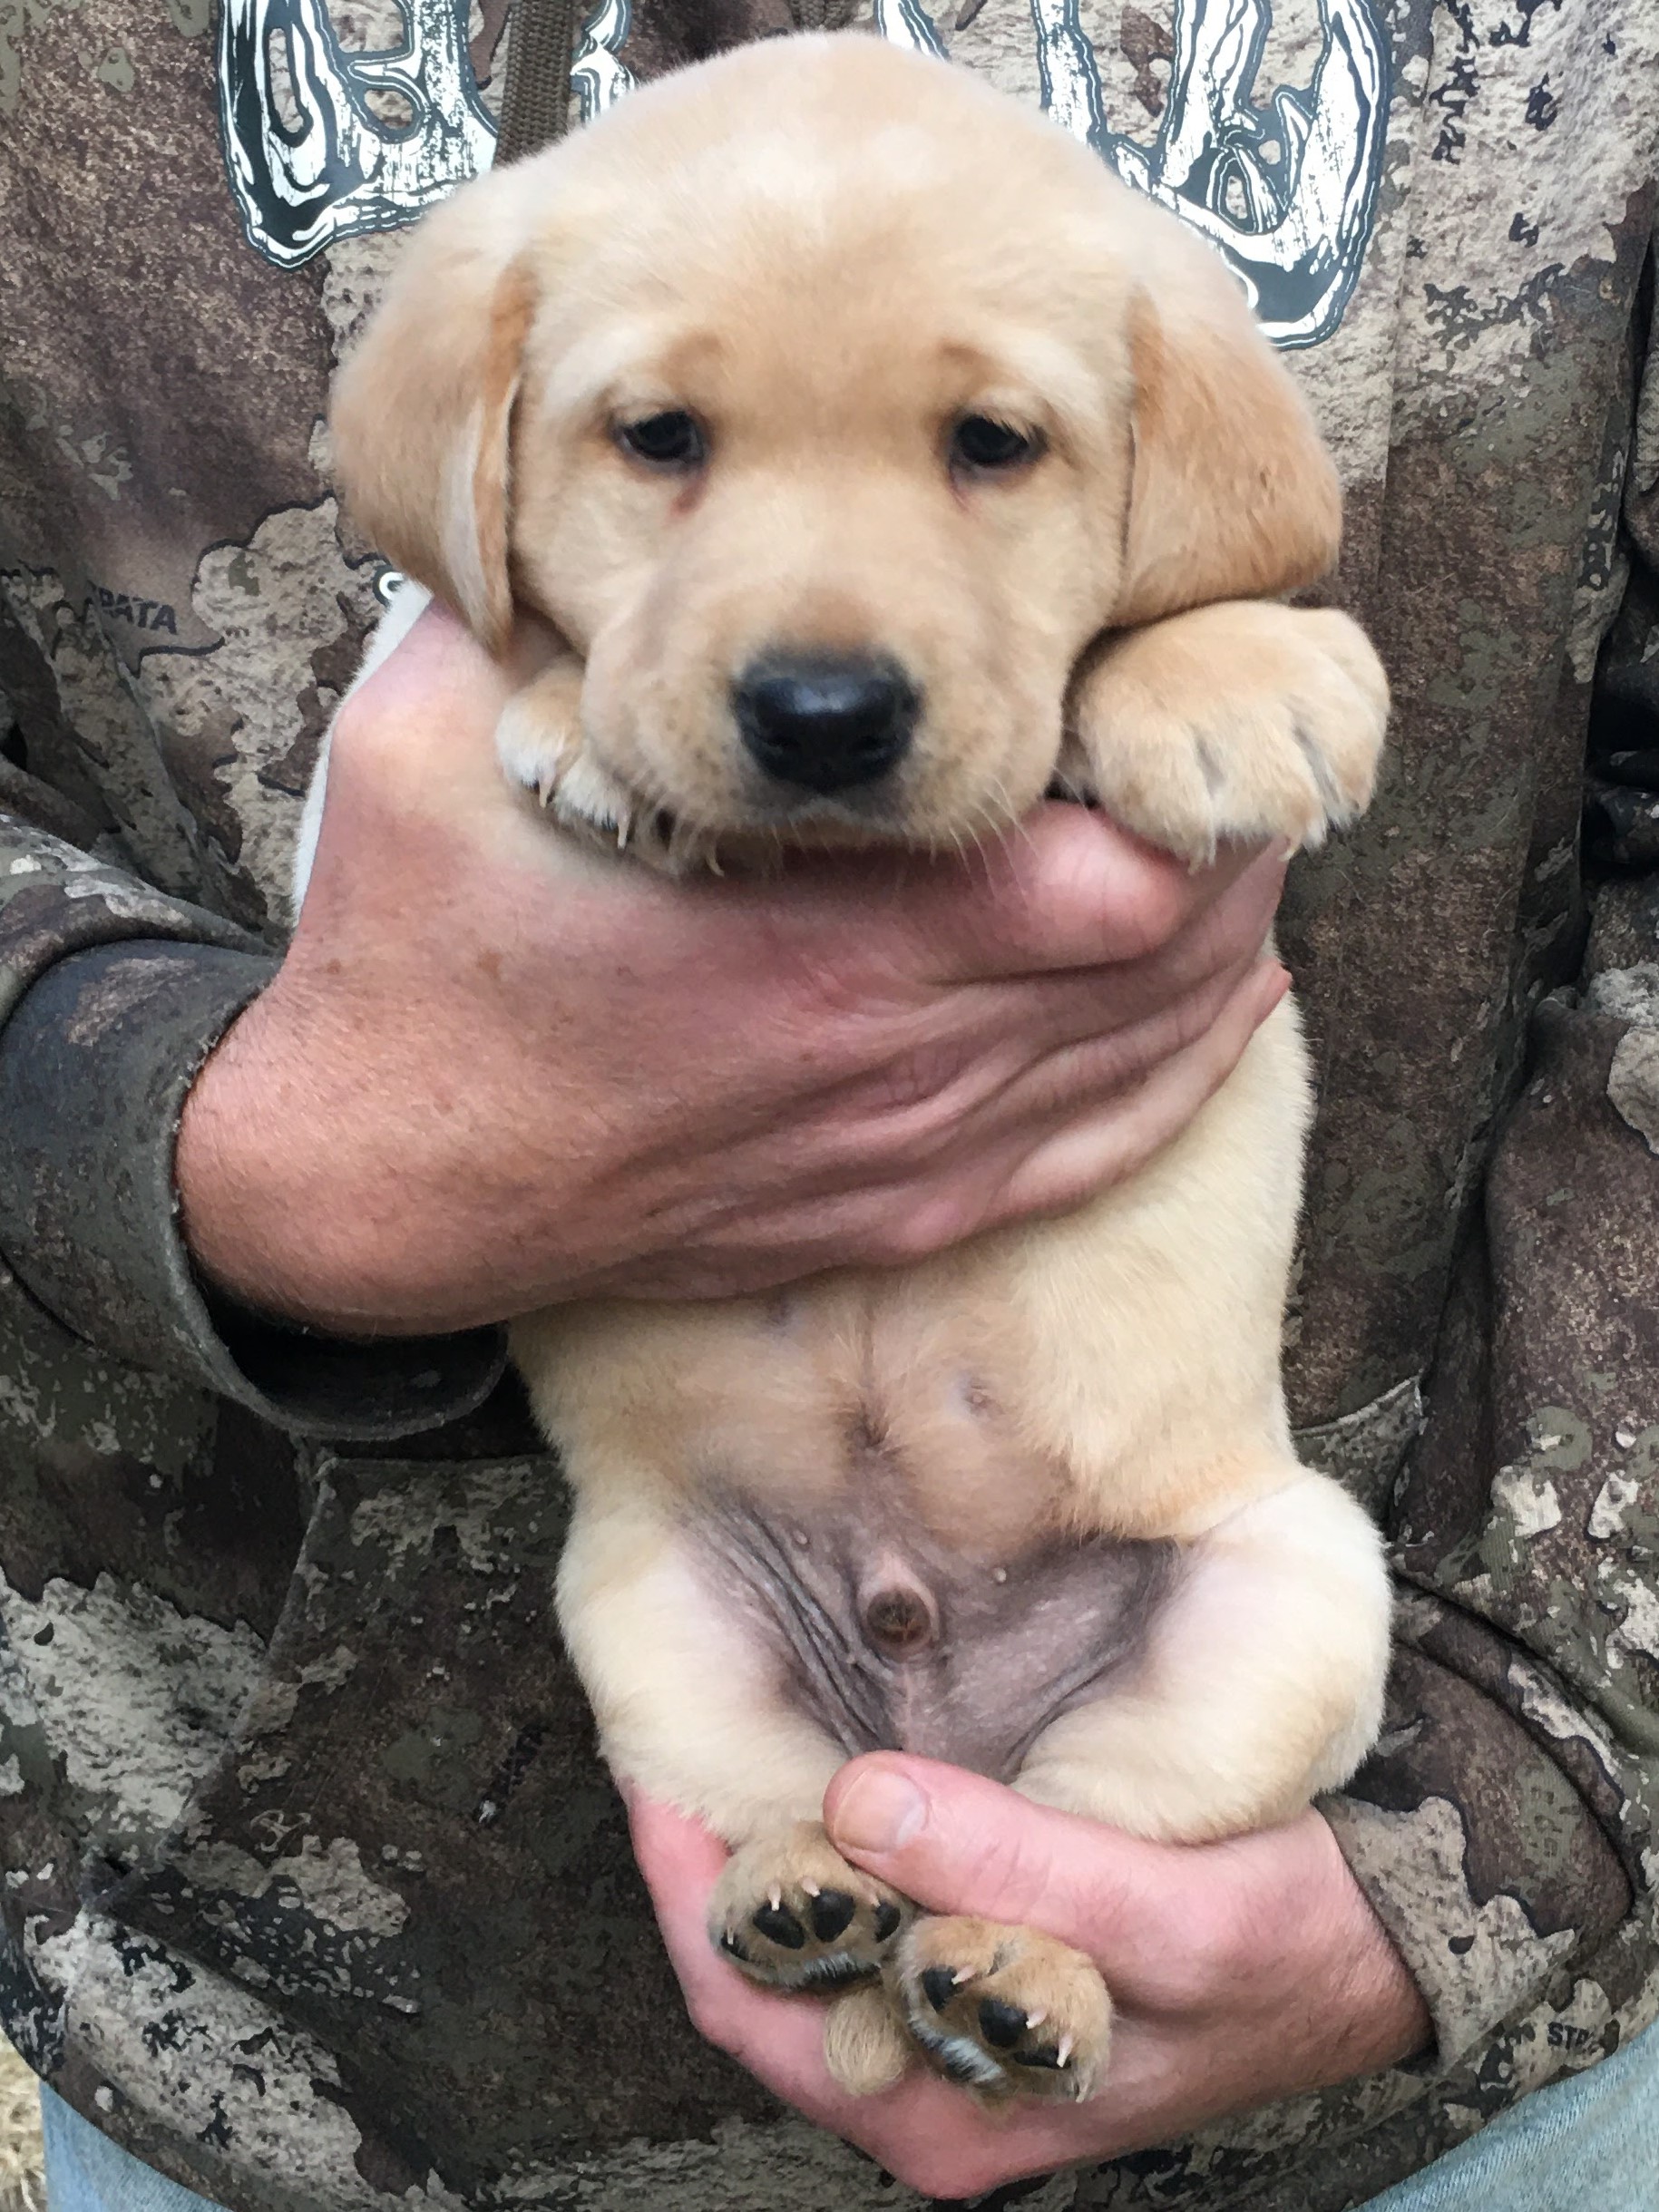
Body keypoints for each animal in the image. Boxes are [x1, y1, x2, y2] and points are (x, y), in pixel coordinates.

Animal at [309, 30, 1389, 2105]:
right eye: (656, 438)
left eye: (993, 446)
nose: (819, 716)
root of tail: (931, 1697)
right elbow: (506, 640)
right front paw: (574, 721)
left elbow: (1163, 615)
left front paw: (1226, 672)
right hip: (650, 1613)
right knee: (799, 1798)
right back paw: (811, 1895)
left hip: (1287, 1593)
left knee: (1084, 1830)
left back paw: (1011, 1980)